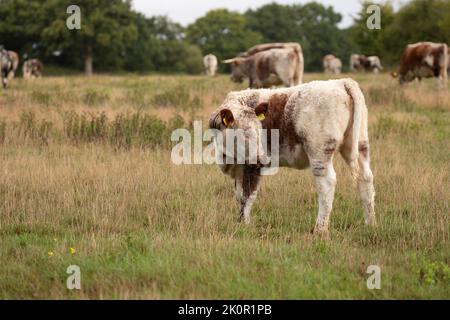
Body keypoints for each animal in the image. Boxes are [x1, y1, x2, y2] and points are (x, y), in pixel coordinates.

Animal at [211, 77, 376, 232]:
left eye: (259, 131)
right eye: (241, 135)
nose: (260, 158)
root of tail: (341, 82)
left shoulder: (252, 166)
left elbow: (247, 195)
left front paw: (245, 224)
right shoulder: (240, 167)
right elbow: (239, 195)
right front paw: (239, 222)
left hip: (319, 151)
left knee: (327, 184)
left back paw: (320, 229)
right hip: (360, 144)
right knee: (365, 178)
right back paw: (370, 224)